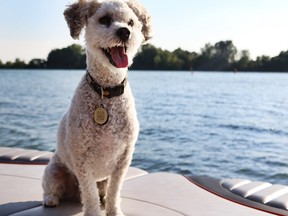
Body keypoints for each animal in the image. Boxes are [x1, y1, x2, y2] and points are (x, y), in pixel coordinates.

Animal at [41, 0, 152, 215]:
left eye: (131, 22)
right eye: (105, 20)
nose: (125, 32)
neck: (106, 91)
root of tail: (73, 195)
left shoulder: (123, 160)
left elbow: (114, 192)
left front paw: (113, 211)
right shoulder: (82, 159)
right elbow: (90, 195)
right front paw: (93, 211)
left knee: (102, 192)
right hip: (54, 170)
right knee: (52, 189)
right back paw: (51, 200)